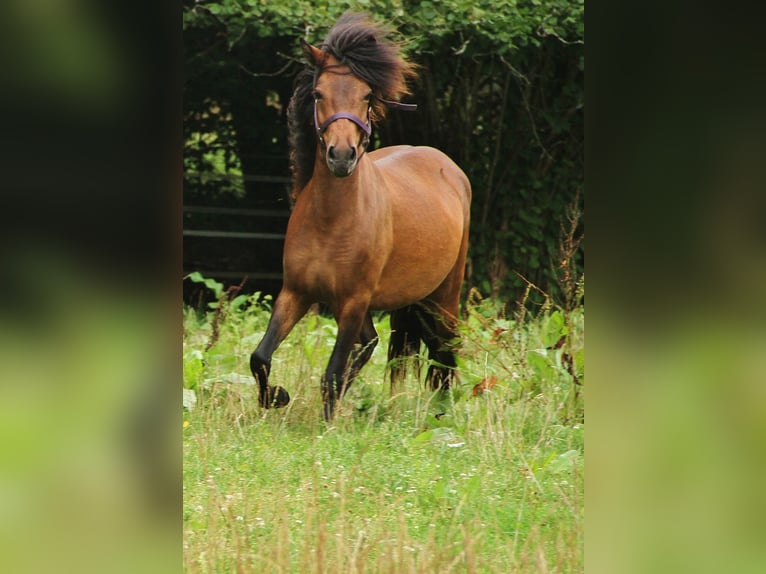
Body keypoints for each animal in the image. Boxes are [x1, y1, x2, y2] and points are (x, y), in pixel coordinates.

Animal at [250, 11, 474, 420]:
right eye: (318, 94)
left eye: (367, 95)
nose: (341, 156)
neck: (331, 221)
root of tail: (445, 164)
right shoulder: (296, 292)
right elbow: (260, 357)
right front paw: (276, 397)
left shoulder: (353, 302)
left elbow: (332, 373)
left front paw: (326, 425)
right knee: (372, 345)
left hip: (443, 295)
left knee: (445, 350)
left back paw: (441, 411)